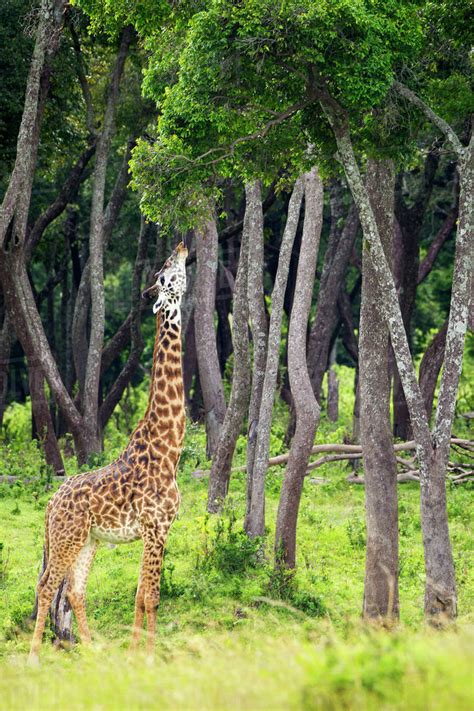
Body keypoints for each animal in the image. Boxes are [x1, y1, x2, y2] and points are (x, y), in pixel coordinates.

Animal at [28, 242, 189, 664]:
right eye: (166, 272)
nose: (182, 245)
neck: (169, 447)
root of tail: (49, 504)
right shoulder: (155, 526)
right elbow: (151, 596)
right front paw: (148, 655)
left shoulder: (157, 530)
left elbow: (139, 594)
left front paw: (134, 652)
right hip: (67, 539)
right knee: (46, 587)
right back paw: (34, 656)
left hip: (88, 541)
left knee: (74, 591)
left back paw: (93, 651)